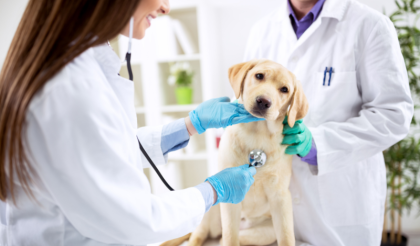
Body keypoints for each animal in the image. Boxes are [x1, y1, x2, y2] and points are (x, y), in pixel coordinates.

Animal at [161, 59, 308, 246]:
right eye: (259, 76)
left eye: (284, 89)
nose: (263, 101)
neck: (258, 134)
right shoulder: (230, 201)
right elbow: (231, 236)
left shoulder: (280, 198)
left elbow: (287, 237)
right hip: (211, 212)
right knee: (199, 236)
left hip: (263, 233)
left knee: (226, 239)